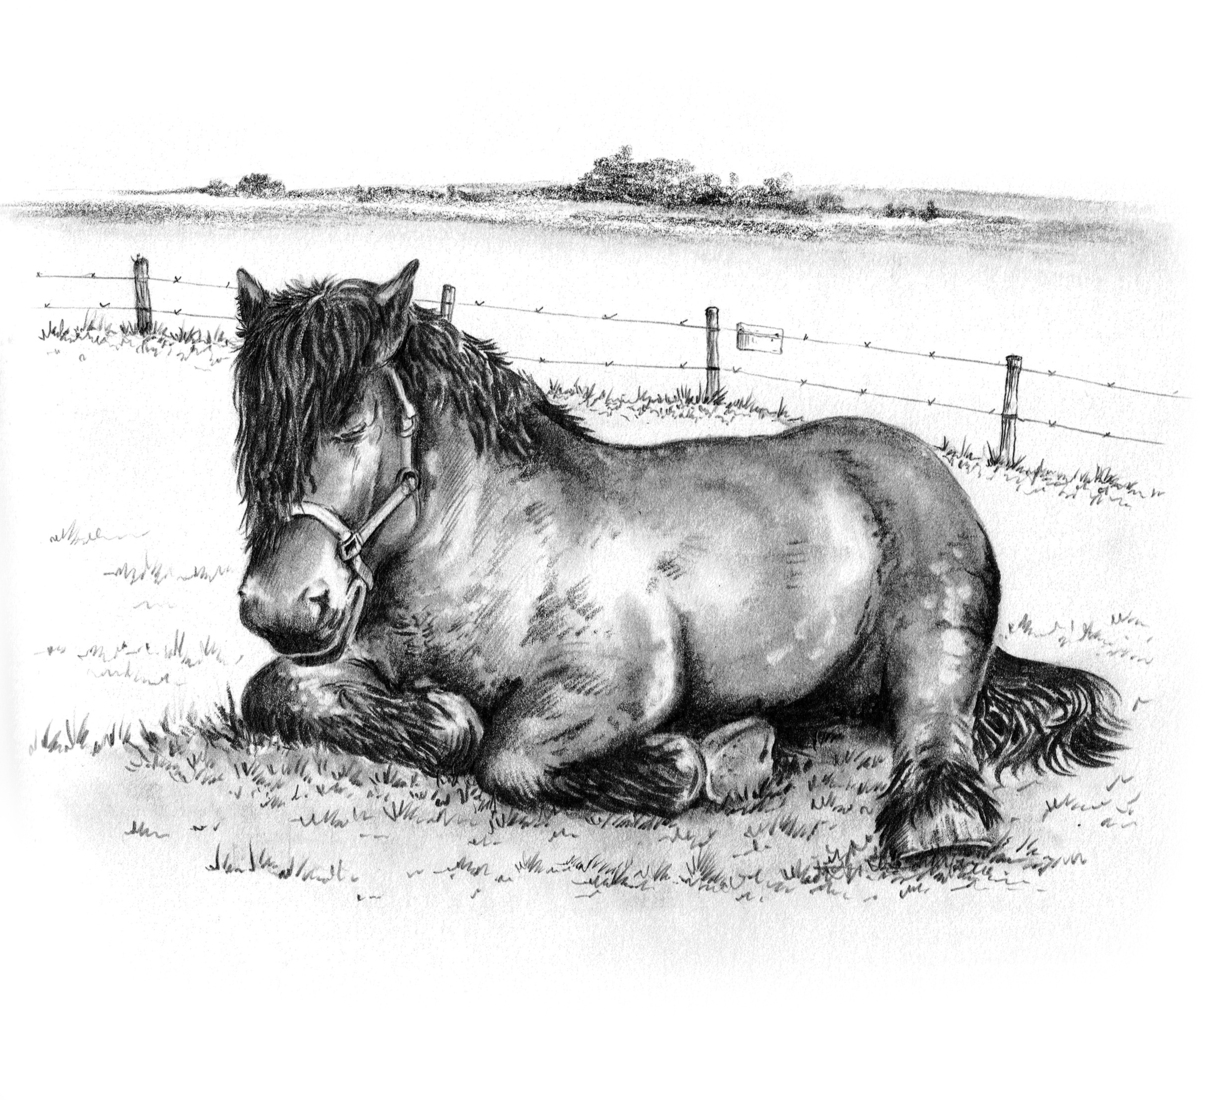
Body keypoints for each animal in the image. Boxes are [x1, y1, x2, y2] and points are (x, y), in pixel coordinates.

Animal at [233, 259, 1125, 859]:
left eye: (352, 422)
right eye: (252, 427)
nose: (279, 604)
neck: (487, 542)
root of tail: (914, 455)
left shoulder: (621, 683)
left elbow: (508, 755)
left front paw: (699, 760)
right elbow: (275, 690)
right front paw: (435, 716)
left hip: (933, 630)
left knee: (935, 726)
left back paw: (932, 820)